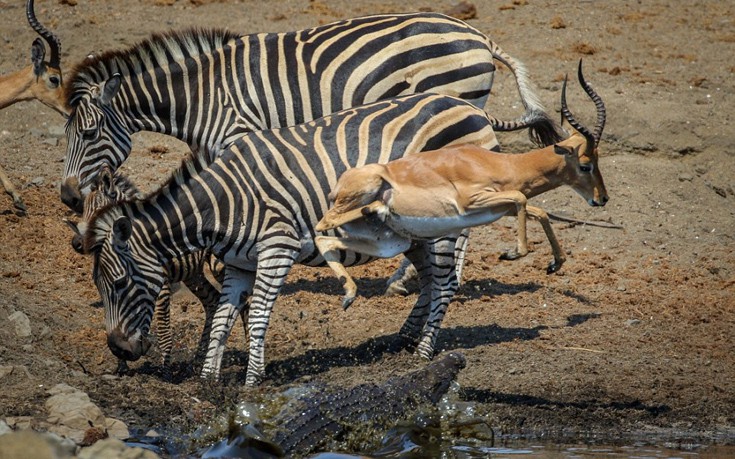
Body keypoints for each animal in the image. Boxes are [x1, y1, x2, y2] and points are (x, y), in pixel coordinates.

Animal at [61, 11, 564, 211]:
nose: (67, 198)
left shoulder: (240, 135)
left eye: (88, 134)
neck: (203, 95)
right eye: (66, 136)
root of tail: (478, 34)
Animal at [67, 165, 226, 374]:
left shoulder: (161, 284)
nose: (78, 243)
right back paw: (199, 360)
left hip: (217, 266)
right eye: (84, 210)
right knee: (213, 302)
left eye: (99, 213)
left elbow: (163, 329)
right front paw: (122, 365)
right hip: (194, 276)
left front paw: (165, 370)